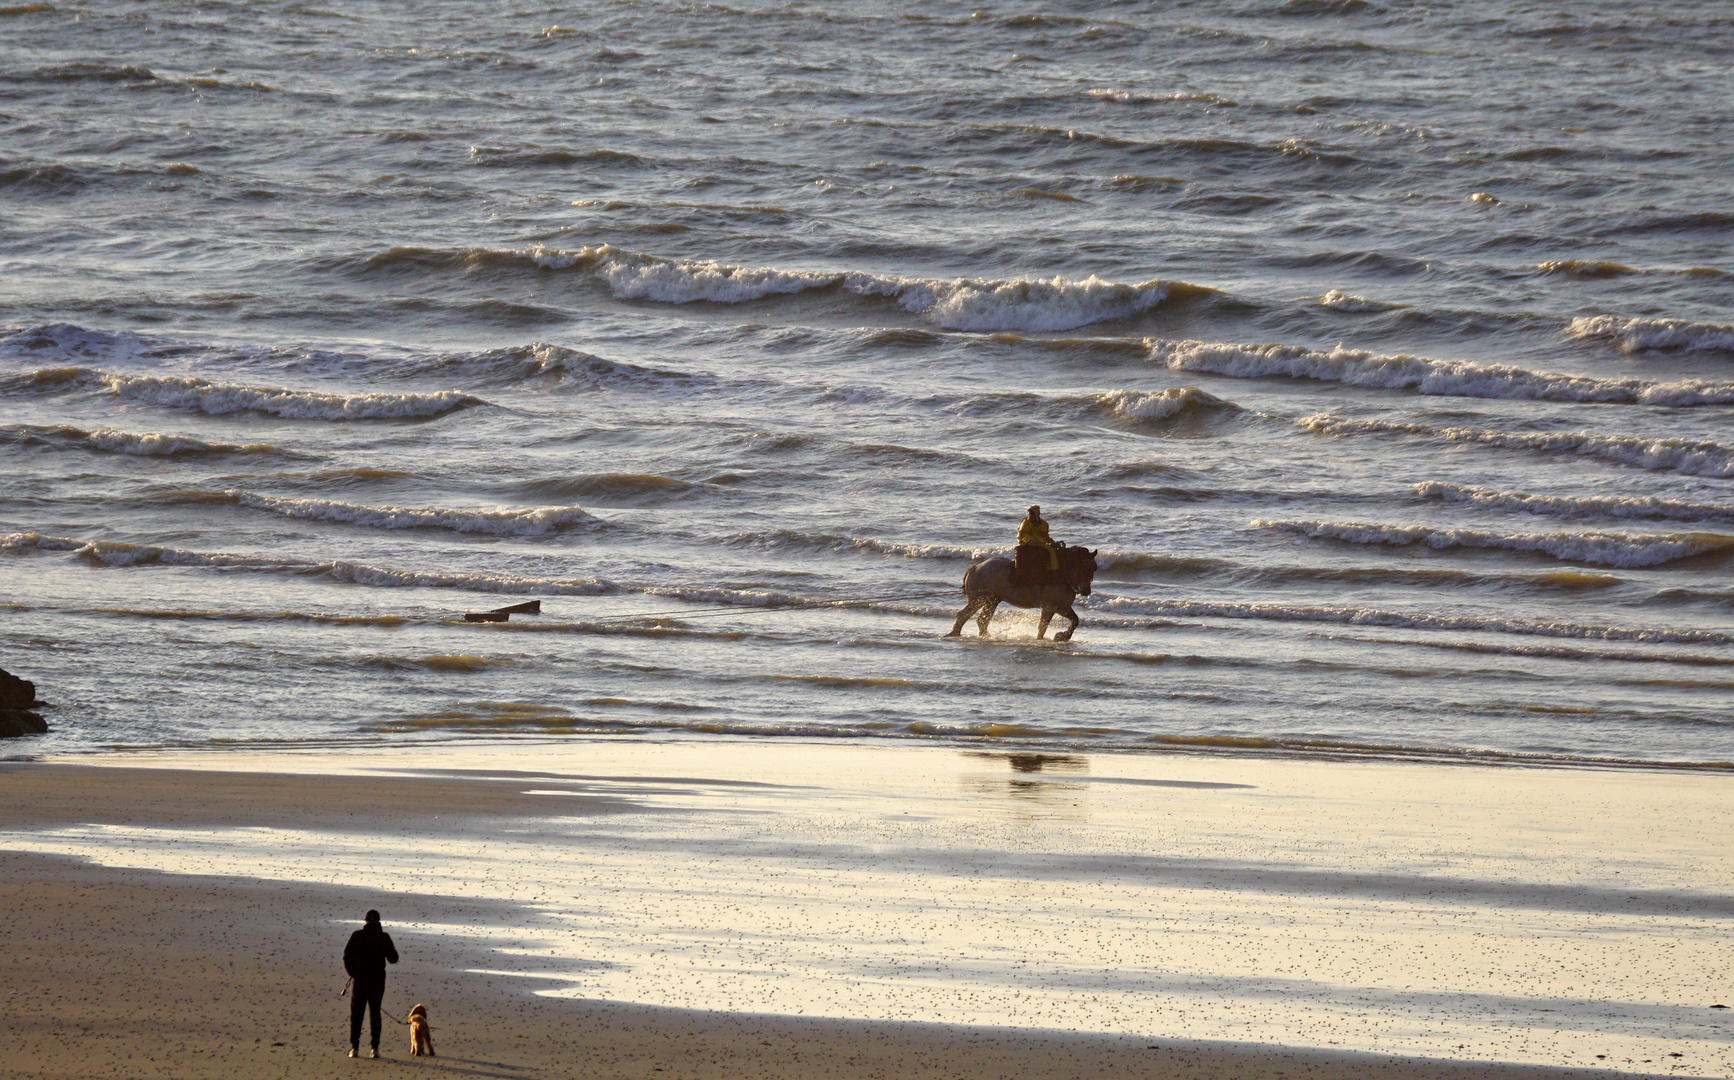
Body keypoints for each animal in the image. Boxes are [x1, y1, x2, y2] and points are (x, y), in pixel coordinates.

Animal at [950, 540, 1095, 641]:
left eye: (1094, 568)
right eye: (1084, 567)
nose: (1086, 591)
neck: (1061, 573)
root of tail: (975, 568)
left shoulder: (1060, 607)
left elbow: (1073, 620)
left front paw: (1061, 636)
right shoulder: (1052, 607)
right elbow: (1044, 626)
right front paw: (1059, 636)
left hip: (992, 600)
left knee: (981, 620)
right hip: (979, 599)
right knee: (964, 615)